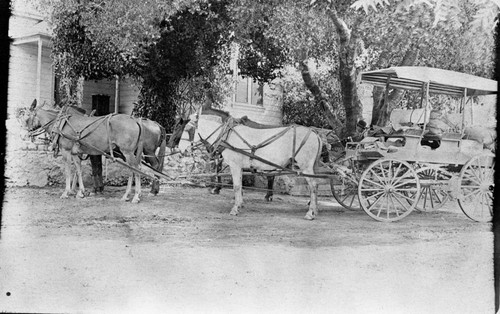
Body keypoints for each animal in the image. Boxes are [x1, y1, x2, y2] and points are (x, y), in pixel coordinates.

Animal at [181, 109, 324, 220]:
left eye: (188, 129)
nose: (182, 150)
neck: (227, 135)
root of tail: (315, 134)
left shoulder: (235, 165)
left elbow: (236, 186)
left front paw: (235, 209)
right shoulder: (239, 167)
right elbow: (239, 186)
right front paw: (239, 204)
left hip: (306, 167)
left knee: (313, 186)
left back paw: (310, 212)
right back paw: (315, 209)